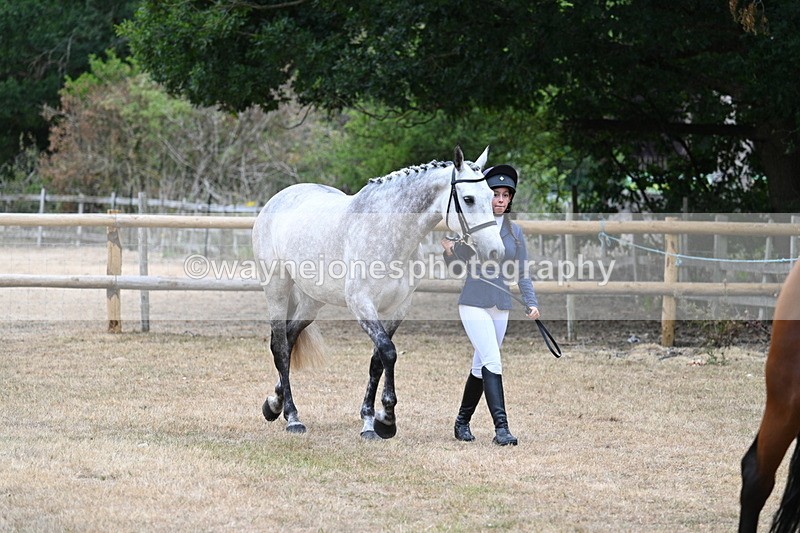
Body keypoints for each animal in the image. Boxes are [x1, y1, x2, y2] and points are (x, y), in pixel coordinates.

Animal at [251, 146, 505, 440]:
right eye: (468, 198)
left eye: (492, 196)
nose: (495, 252)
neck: (388, 232)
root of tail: (278, 198)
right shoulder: (362, 304)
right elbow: (388, 352)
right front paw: (387, 420)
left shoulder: (398, 308)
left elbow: (377, 360)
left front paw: (371, 420)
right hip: (277, 289)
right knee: (280, 347)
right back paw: (292, 417)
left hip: (312, 300)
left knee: (291, 338)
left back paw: (274, 404)